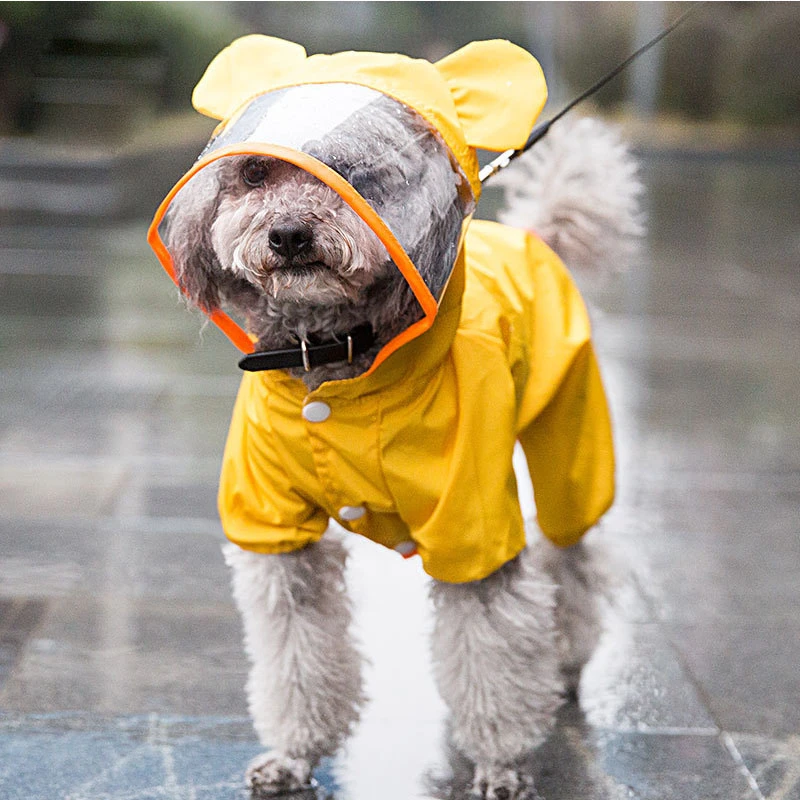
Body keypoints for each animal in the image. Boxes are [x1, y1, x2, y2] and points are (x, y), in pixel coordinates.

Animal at [153, 36, 644, 800]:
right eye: (256, 173)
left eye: (357, 171)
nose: (289, 235)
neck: (334, 355)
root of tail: (536, 235)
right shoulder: (277, 533)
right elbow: (297, 657)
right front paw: (294, 755)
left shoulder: (473, 526)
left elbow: (491, 657)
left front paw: (501, 763)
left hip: (571, 434)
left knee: (574, 554)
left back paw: (566, 660)